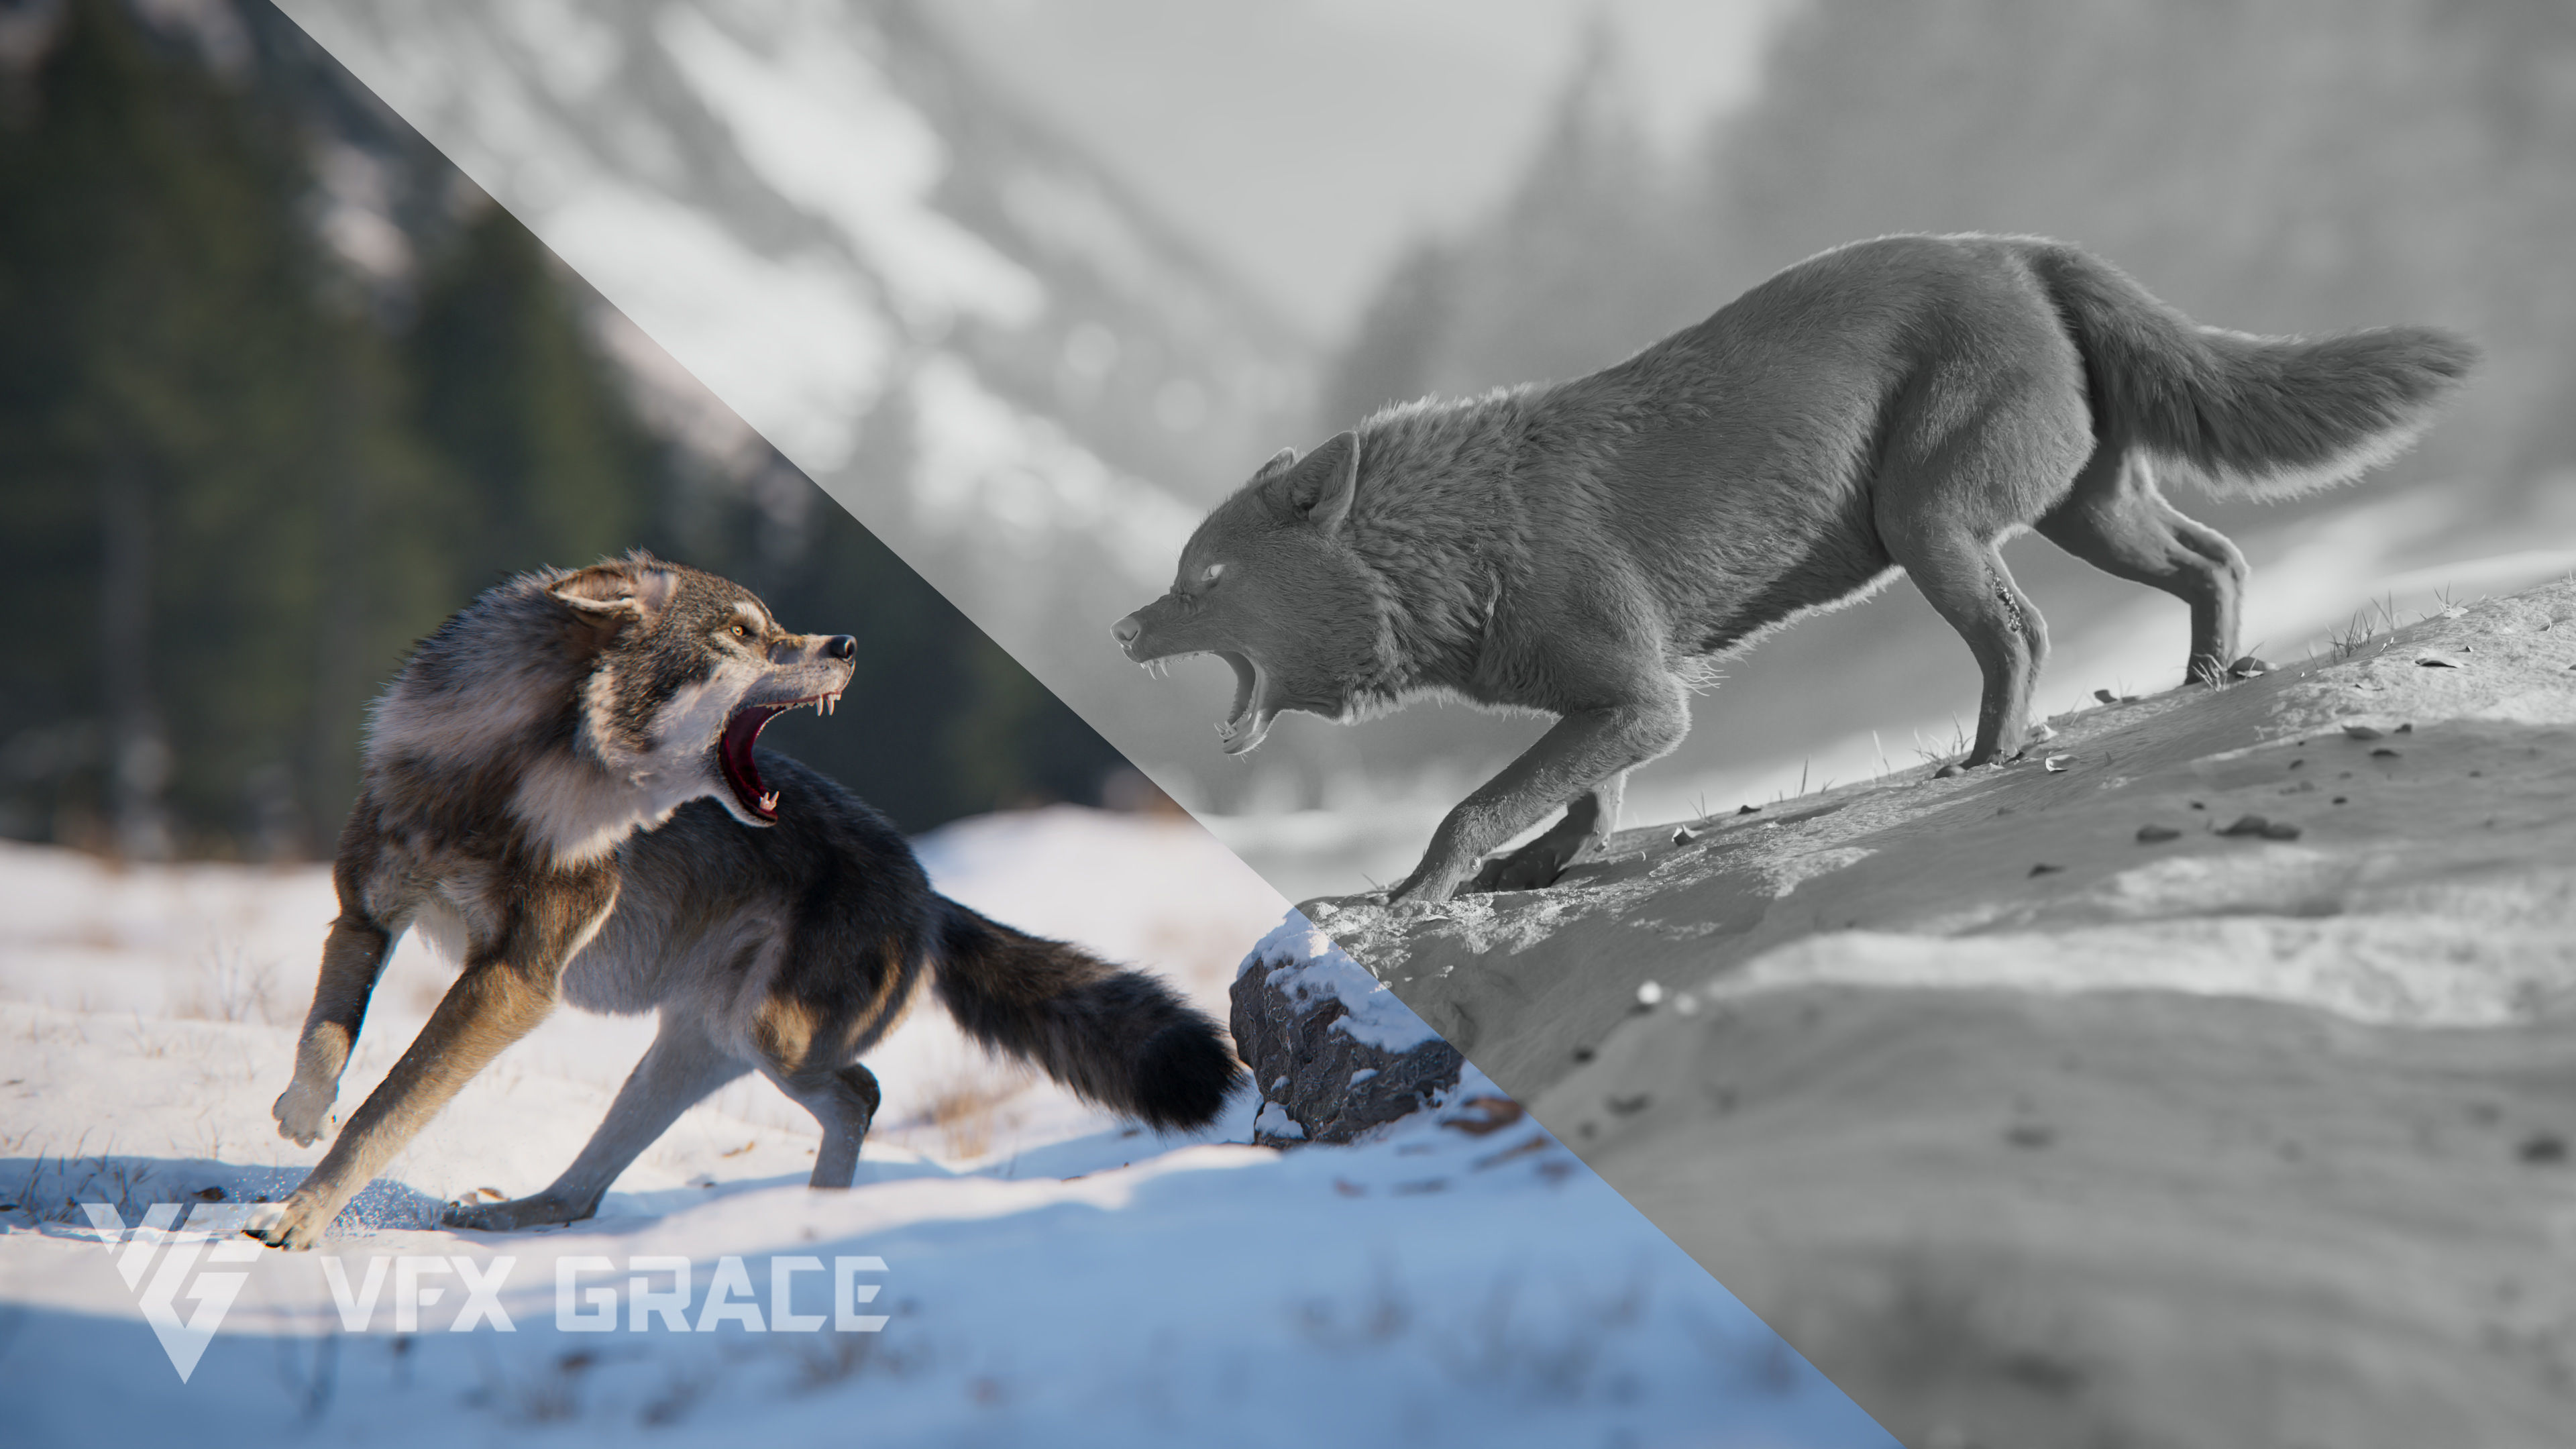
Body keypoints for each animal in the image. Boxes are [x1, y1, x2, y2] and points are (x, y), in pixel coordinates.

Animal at [246, 553, 1241, 1250]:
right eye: (742, 633)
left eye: (774, 627)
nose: (847, 647)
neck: (504, 781)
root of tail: (928, 890)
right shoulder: (366, 913)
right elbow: (327, 1038)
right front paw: (300, 1114)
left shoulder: (515, 982)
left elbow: (388, 1108)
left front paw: (298, 1220)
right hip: (692, 1050)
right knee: (585, 1194)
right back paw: (516, 1210)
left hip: (770, 1038)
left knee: (860, 1093)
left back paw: (819, 1222)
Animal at [1113, 233, 2476, 903]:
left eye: (1205, 583)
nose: (1124, 632)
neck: (1457, 539)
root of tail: (2026, 252)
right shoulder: (1618, 706)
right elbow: (1583, 806)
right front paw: (1540, 871)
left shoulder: (1641, 699)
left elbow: (1474, 803)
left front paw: (1425, 888)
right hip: (2086, 513)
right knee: (2216, 559)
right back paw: (2203, 681)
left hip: (1932, 523)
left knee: (2024, 635)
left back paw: (1988, 757)